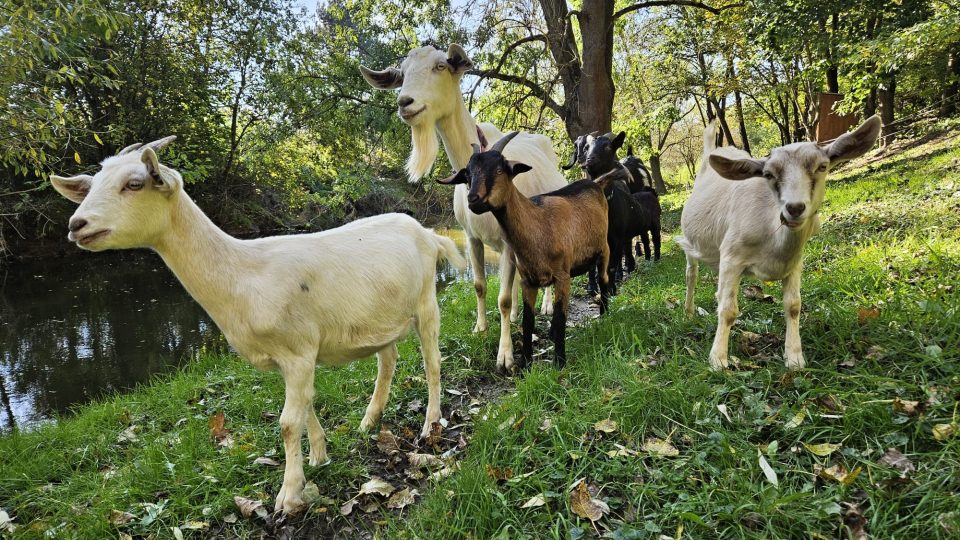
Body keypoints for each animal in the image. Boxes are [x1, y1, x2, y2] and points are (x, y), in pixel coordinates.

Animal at [50, 137, 466, 512]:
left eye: (135, 183)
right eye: (92, 185)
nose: (76, 224)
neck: (244, 274)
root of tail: (429, 233)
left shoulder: (298, 352)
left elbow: (287, 423)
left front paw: (289, 495)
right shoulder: (292, 358)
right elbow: (306, 407)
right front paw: (318, 457)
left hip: (426, 302)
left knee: (432, 362)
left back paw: (430, 423)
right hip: (381, 316)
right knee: (388, 360)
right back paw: (368, 420)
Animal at [360, 44, 568, 376]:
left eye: (440, 66)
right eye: (402, 74)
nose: (405, 103)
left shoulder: (509, 241)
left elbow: (503, 298)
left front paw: (505, 356)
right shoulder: (471, 238)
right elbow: (480, 285)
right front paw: (481, 328)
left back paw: (547, 305)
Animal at [436, 131, 608, 372]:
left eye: (500, 170)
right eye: (467, 175)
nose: (473, 200)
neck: (537, 223)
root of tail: (594, 184)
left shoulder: (562, 276)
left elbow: (560, 316)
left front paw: (558, 362)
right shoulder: (528, 280)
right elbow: (528, 320)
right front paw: (525, 363)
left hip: (604, 251)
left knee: (604, 279)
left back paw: (605, 316)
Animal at [680, 116, 880, 372]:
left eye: (822, 166)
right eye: (768, 174)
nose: (794, 208)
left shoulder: (794, 262)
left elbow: (793, 305)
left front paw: (794, 357)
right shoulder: (732, 256)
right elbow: (727, 309)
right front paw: (718, 360)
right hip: (691, 243)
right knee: (691, 274)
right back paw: (688, 312)